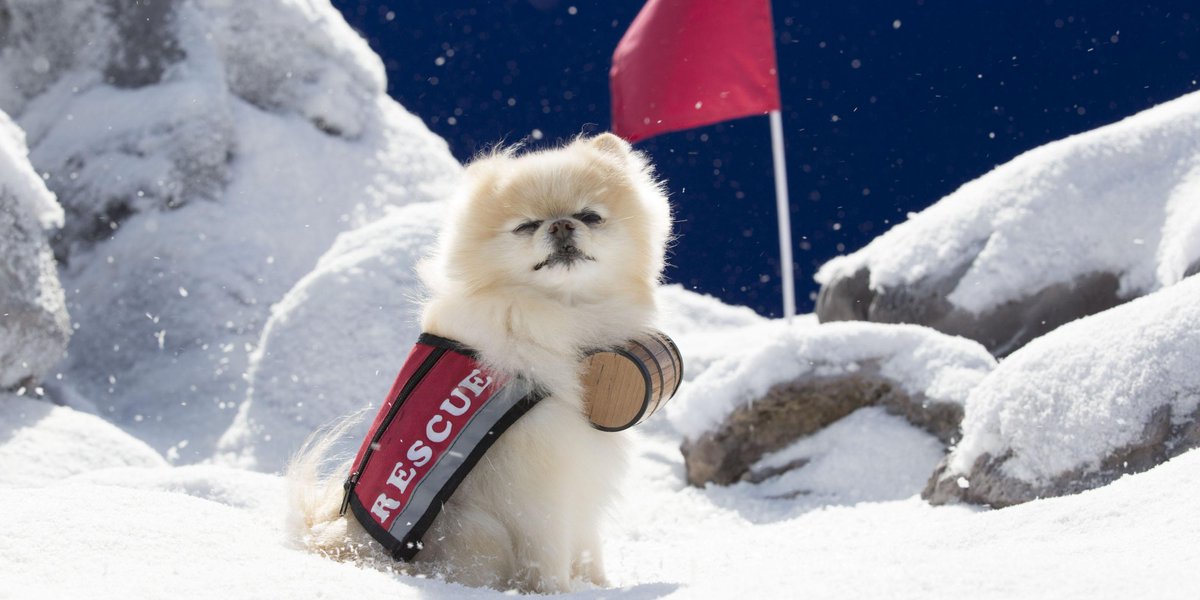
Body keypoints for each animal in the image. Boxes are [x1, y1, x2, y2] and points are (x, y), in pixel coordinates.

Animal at [286, 133, 672, 593]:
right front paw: (557, 593)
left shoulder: (584, 468)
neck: (555, 312)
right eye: (526, 226)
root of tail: (349, 543)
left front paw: (599, 587)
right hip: (478, 531)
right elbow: (551, 549)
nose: (561, 224)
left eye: (590, 216)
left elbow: (588, 545)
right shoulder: (542, 478)